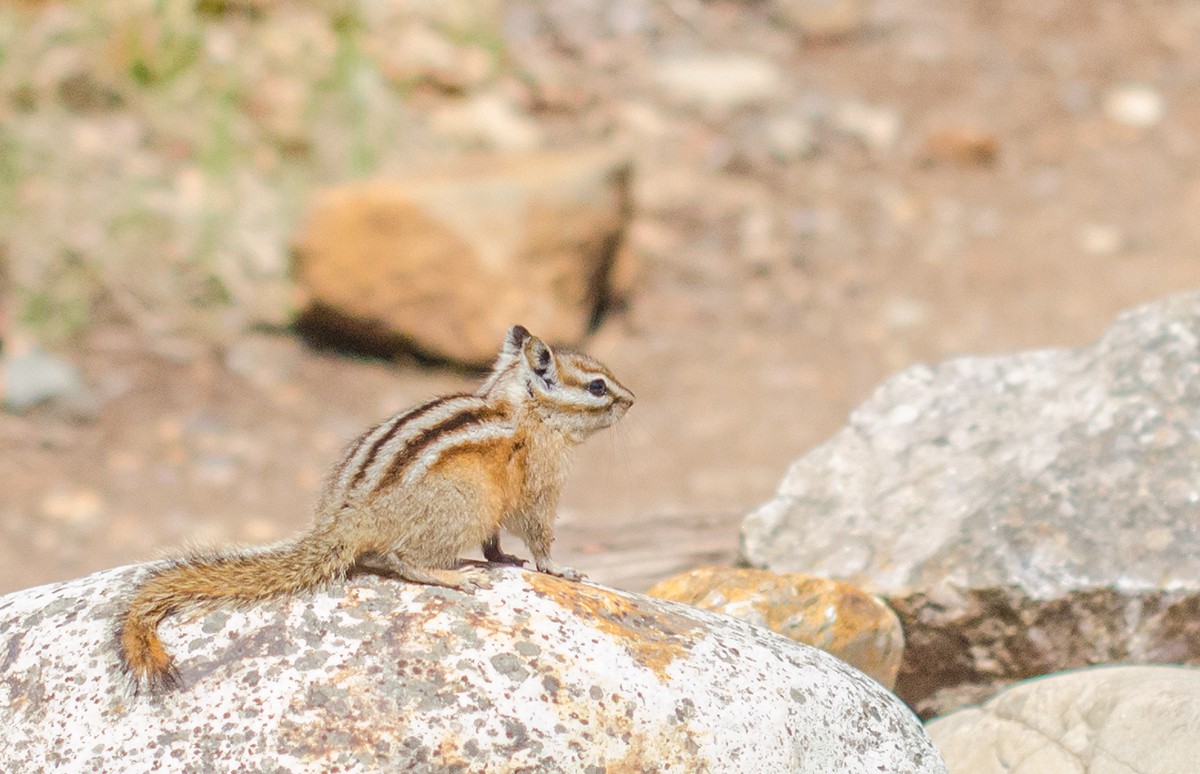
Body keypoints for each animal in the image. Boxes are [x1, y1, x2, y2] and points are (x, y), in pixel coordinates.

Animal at [116, 324, 634, 693]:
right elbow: (538, 533)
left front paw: (505, 557)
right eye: (596, 387)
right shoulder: (537, 486)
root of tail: (345, 523)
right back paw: (450, 576)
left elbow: (496, 541)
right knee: (400, 559)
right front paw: (559, 569)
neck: (519, 408)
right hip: (462, 503)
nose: (631, 399)